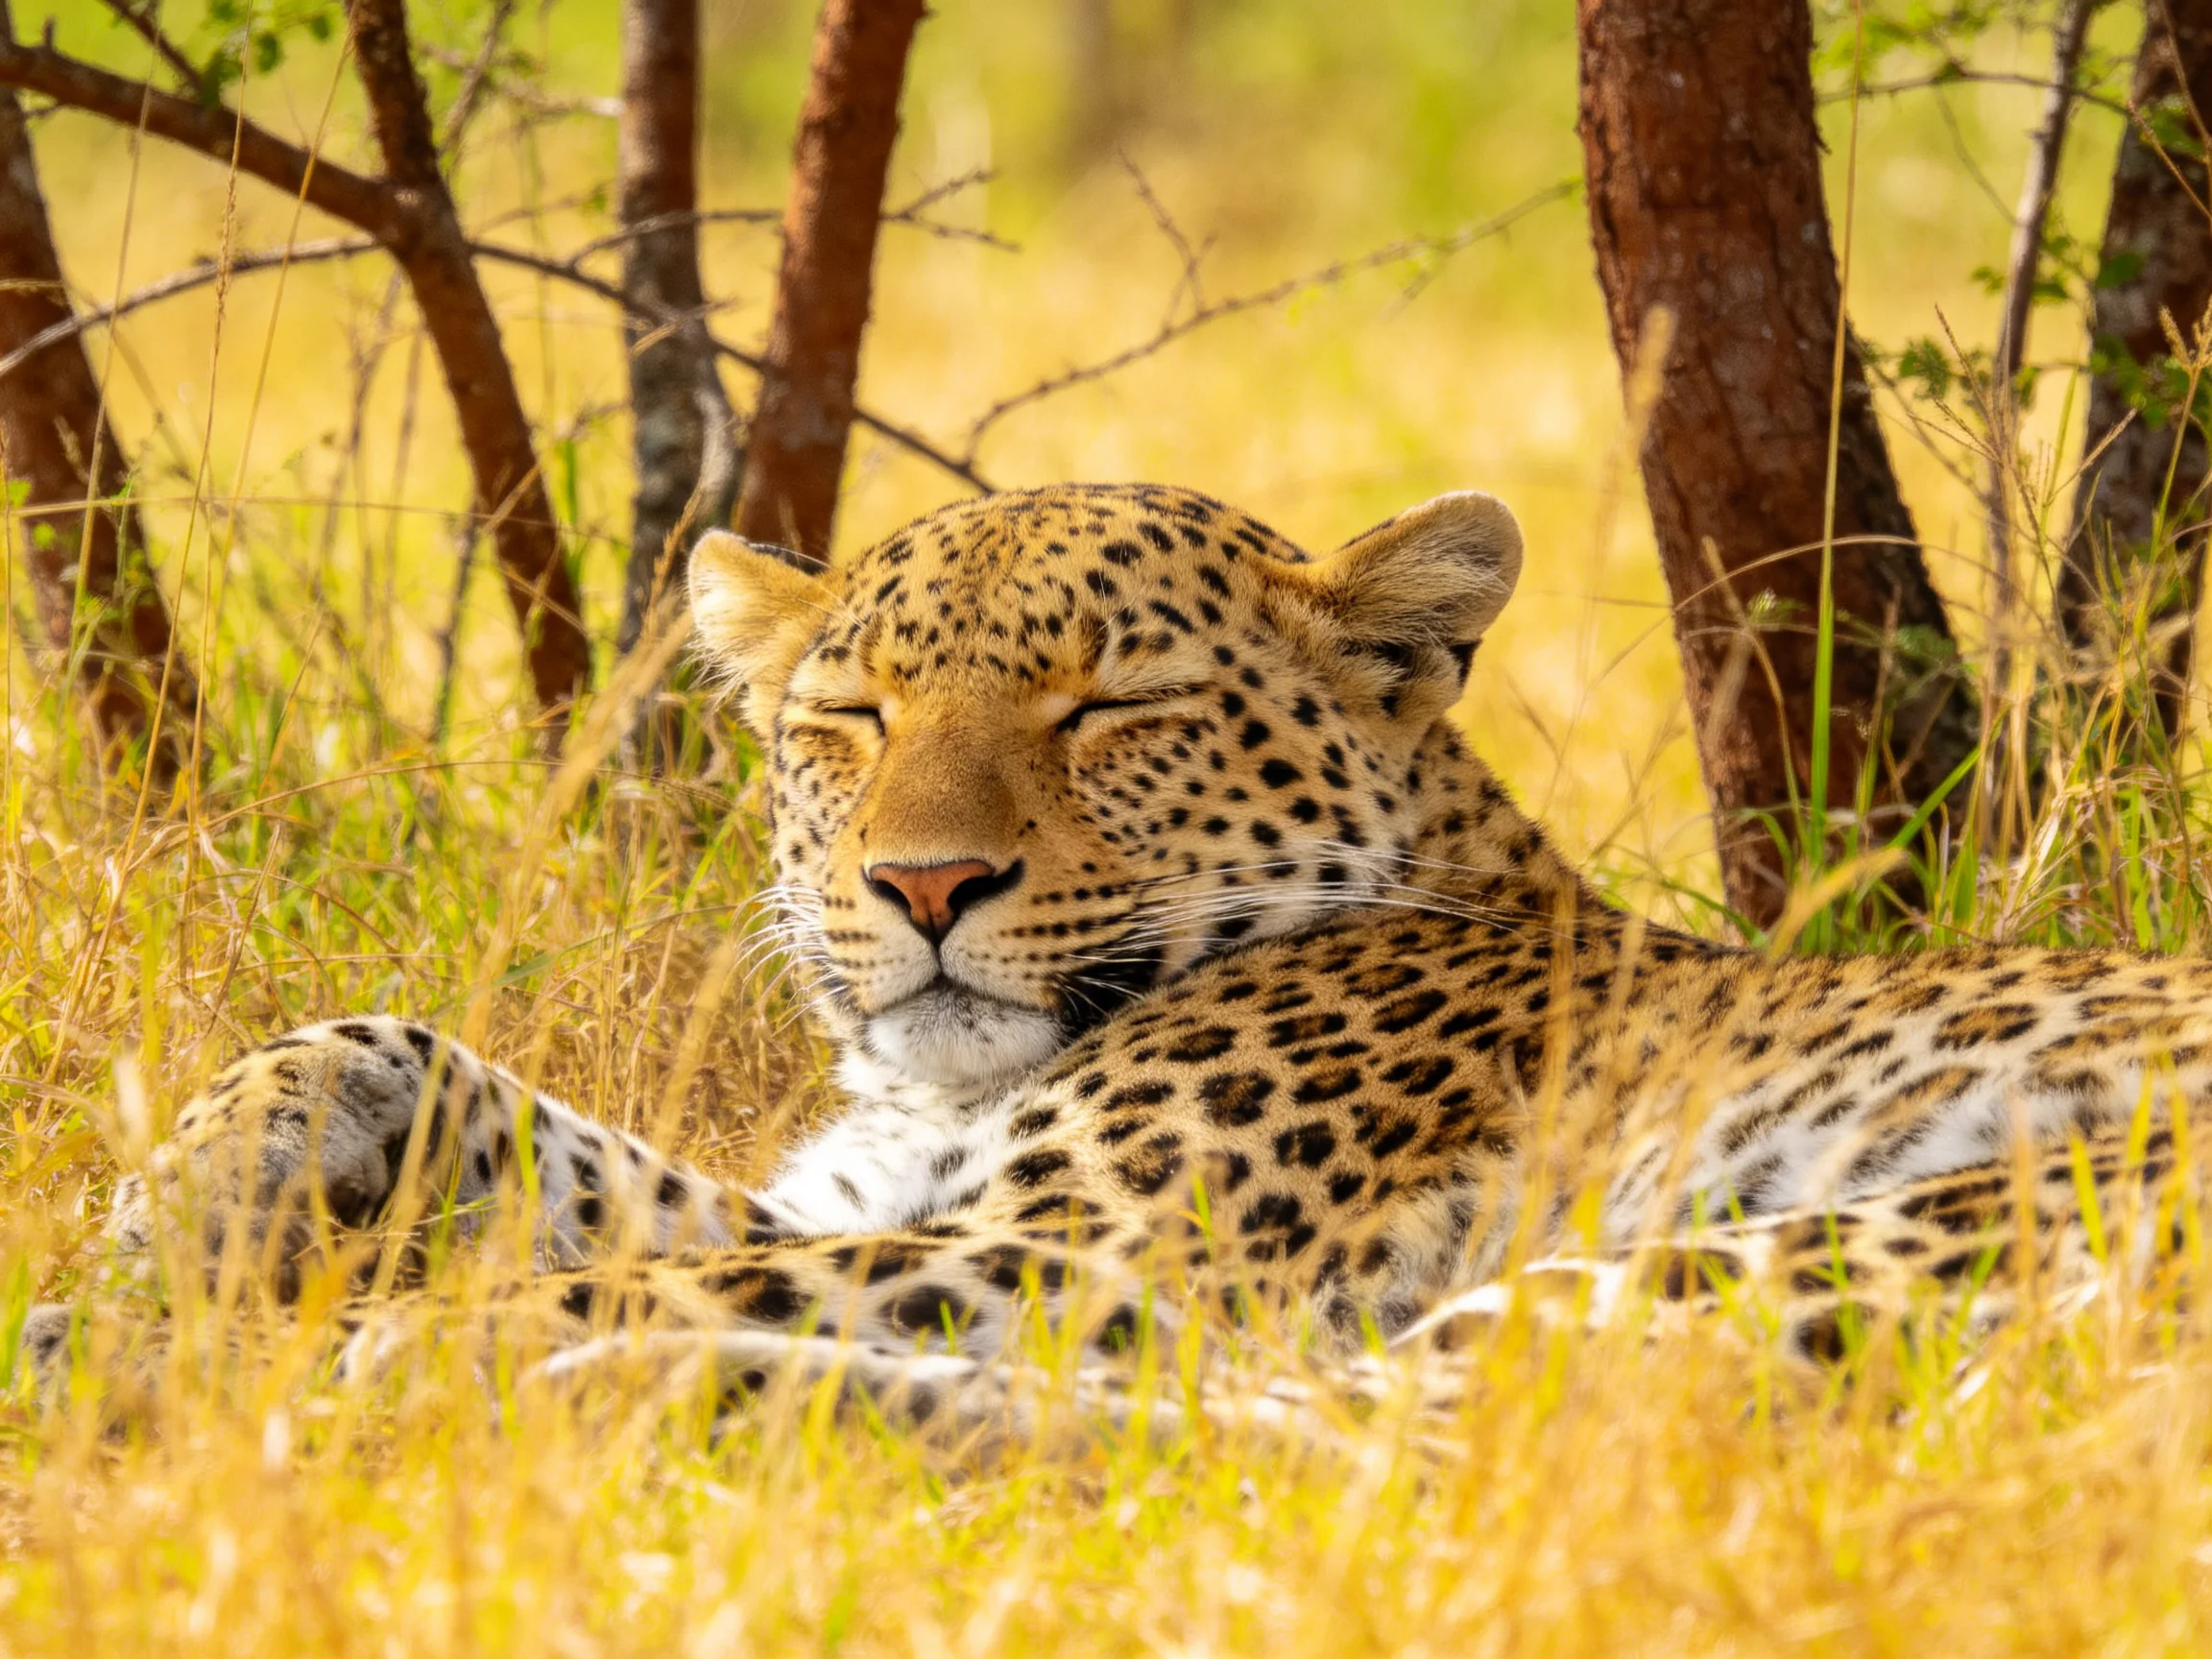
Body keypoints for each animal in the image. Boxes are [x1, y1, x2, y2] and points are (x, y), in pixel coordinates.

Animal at [24, 482, 2212, 1404]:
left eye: (1111, 710)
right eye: (851, 717)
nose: (922, 890)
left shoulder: (1074, 1243)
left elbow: (588, 1269)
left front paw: (196, 1342)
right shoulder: (864, 1197)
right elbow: (407, 1053)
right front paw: (150, 1240)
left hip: (1884, 1227)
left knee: (1354, 1449)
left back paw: (570, 1396)